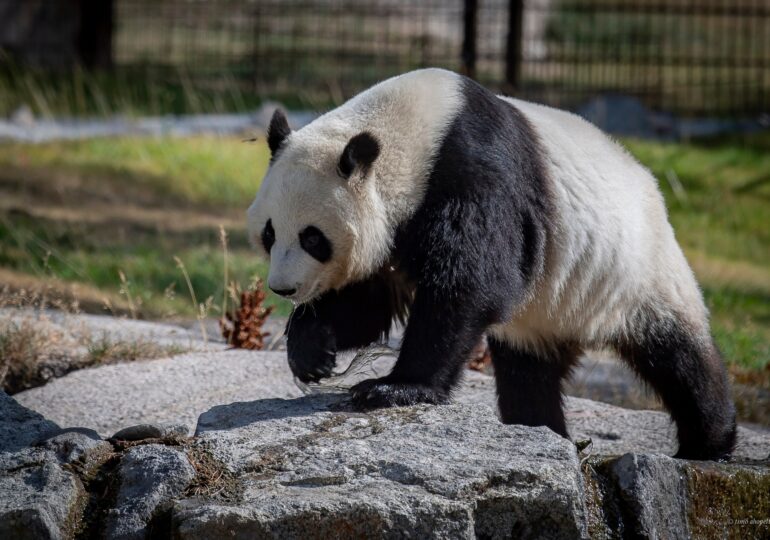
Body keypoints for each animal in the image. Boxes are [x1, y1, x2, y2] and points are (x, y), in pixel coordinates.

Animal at [249, 68, 736, 460]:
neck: (410, 135)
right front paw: (312, 353)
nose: (283, 289)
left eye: (313, 237)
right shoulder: (394, 228)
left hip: (637, 268)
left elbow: (471, 285)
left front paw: (393, 388)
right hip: (543, 312)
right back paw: (542, 430)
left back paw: (709, 443)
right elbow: (369, 304)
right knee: (528, 372)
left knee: (680, 357)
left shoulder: (474, 175)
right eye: (270, 233)